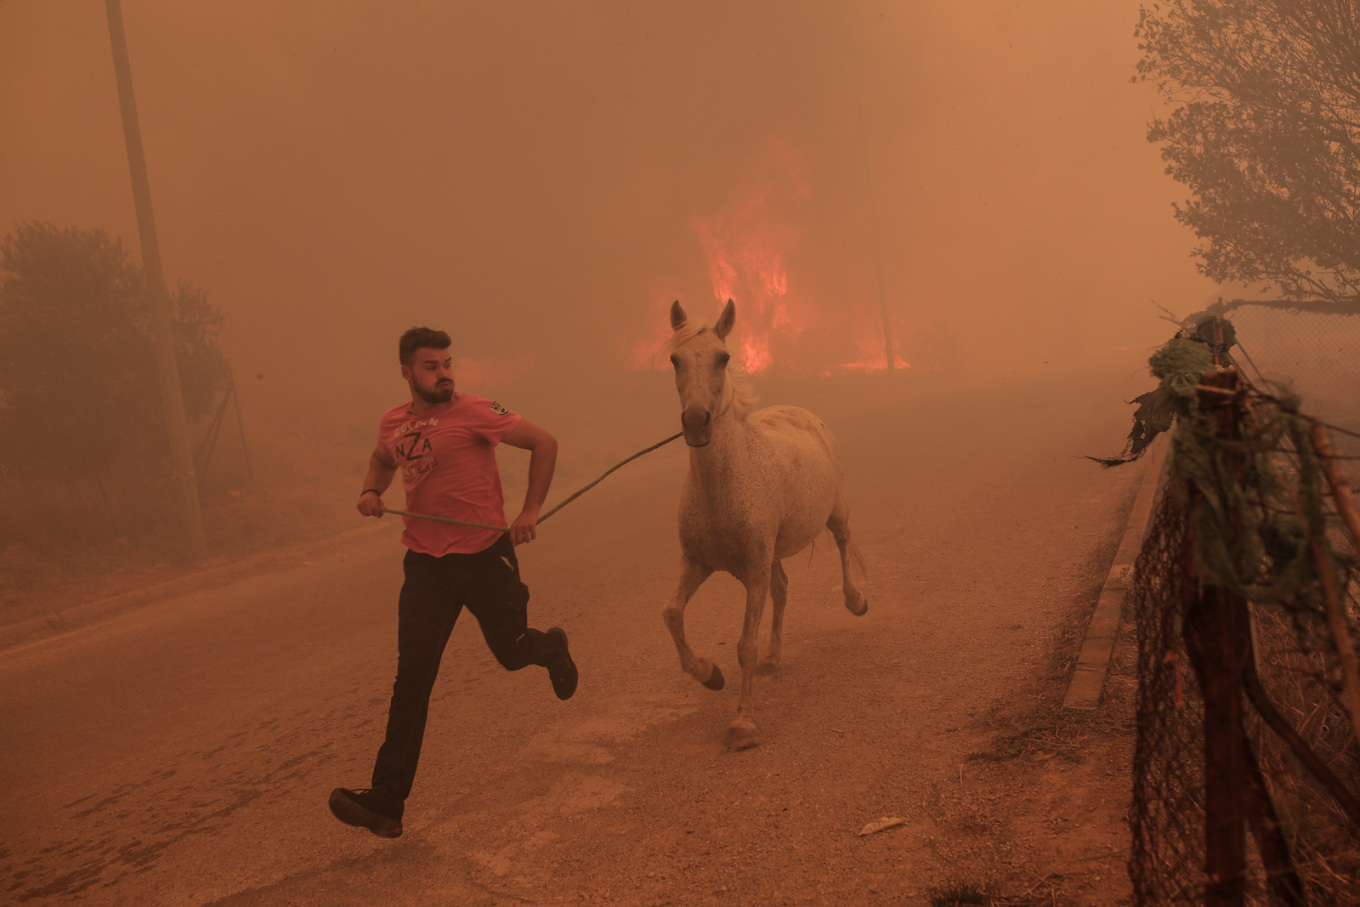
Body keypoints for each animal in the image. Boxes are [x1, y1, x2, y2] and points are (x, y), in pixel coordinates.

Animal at [662, 299, 868, 751]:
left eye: (723, 358)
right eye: (674, 359)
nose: (697, 421)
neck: (722, 485)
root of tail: (804, 413)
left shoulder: (753, 570)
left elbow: (744, 645)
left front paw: (742, 724)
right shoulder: (696, 563)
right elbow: (672, 615)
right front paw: (709, 674)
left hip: (836, 512)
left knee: (844, 545)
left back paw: (855, 600)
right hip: (772, 554)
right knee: (783, 589)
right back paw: (774, 658)